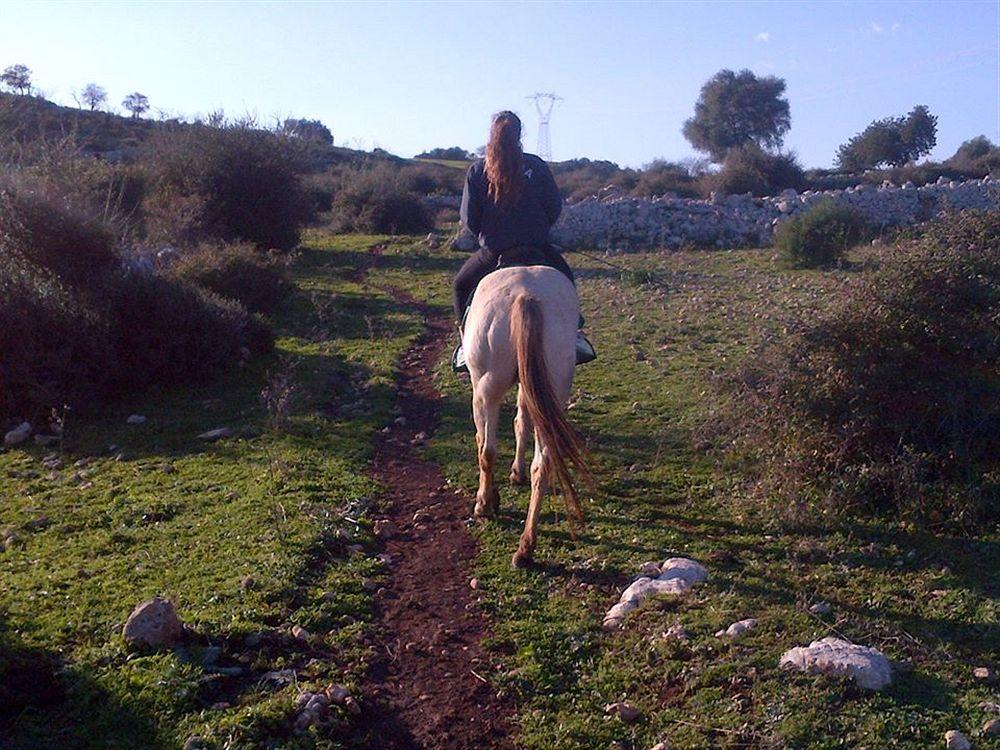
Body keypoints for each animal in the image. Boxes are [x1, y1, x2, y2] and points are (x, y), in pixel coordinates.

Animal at [462, 268, 592, 568]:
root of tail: (526, 296)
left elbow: (483, 442)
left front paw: (490, 498)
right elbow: (522, 423)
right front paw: (516, 472)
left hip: (486, 390)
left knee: (488, 450)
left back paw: (484, 505)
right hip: (550, 390)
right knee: (542, 464)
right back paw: (525, 548)